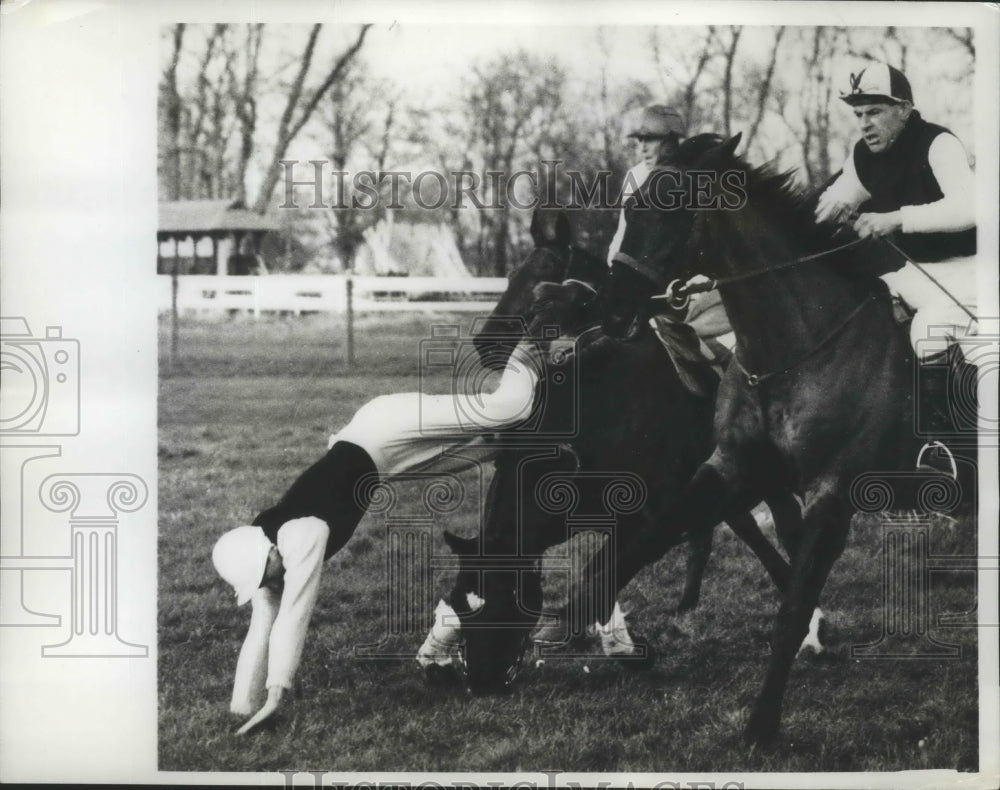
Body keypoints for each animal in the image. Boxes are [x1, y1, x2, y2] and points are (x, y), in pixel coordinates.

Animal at [442, 209, 800, 692]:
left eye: (501, 594)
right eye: (462, 599)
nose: (481, 678)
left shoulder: (648, 513)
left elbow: (603, 572)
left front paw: (621, 648)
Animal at [592, 135, 960, 748]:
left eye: (670, 206)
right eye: (630, 206)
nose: (616, 310)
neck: (800, 345)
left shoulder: (830, 495)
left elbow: (790, 610)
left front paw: (762, 724)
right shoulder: (730, 466)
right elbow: (648, 537)